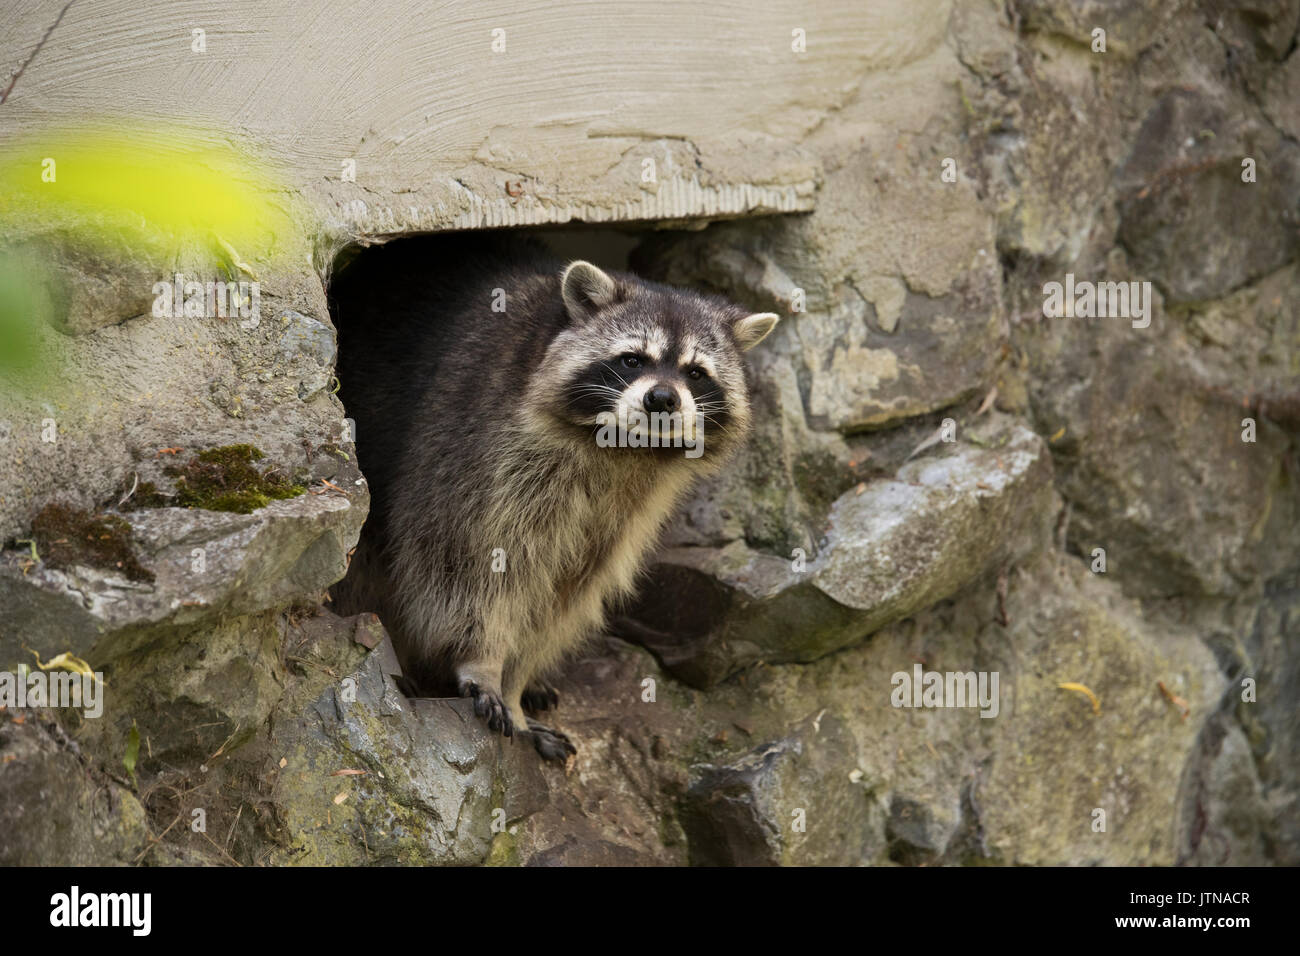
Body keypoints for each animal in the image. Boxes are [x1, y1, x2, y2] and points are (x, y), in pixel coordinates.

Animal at [330, 234, 777, 761]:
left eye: (696, 373)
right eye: (632, 359)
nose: (663, 399)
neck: (622, 449)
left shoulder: (625, 510)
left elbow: (563, 596)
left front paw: (517, 682)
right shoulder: (475, 450)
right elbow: (465, 567)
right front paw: (482, 662)